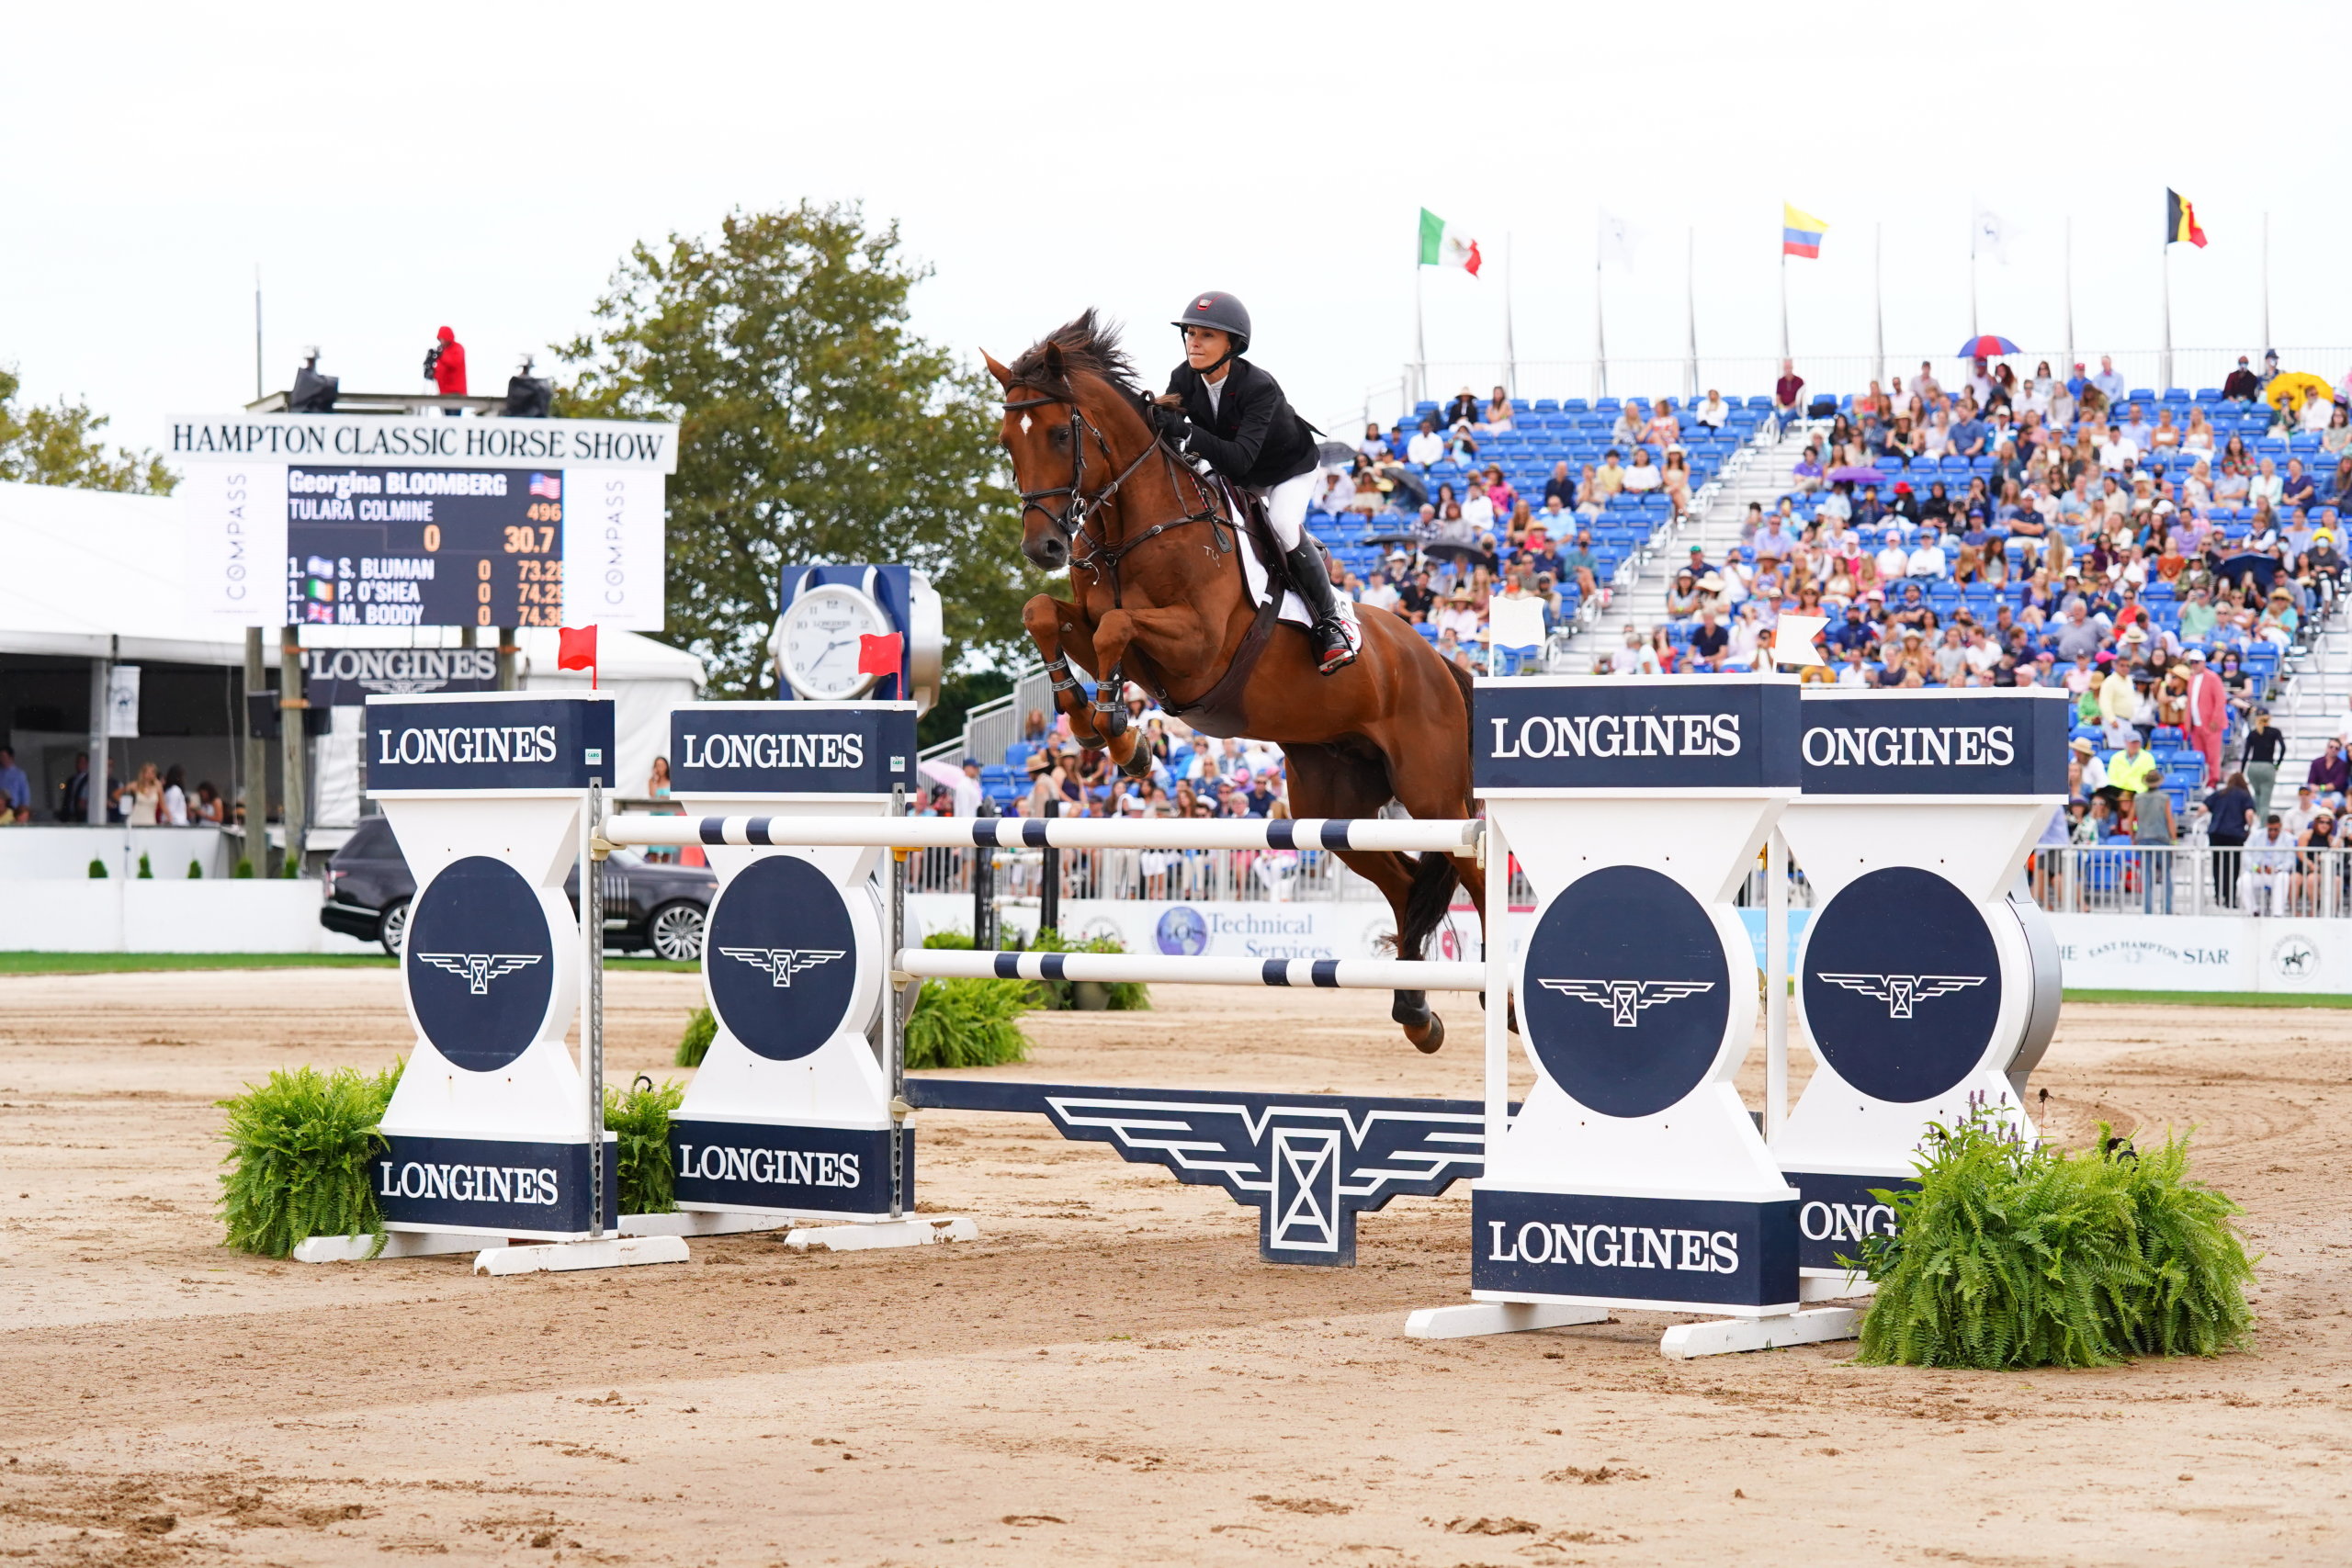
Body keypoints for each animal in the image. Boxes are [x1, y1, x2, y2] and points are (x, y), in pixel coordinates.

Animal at [983, 312, 1476, 1053]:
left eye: (1059, 434)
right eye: (1006, 439)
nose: (1042, 548)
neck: (1133, 526)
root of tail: (1439, 662)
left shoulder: (1197, 647)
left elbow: (1116, 628)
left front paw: (1121, 734)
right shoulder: (1096, 622)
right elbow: (1046, 612)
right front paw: (1084, 714)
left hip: (1435, 794)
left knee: (1473, 869)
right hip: (1334, 801)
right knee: (1407, 883)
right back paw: (1417, 1015)